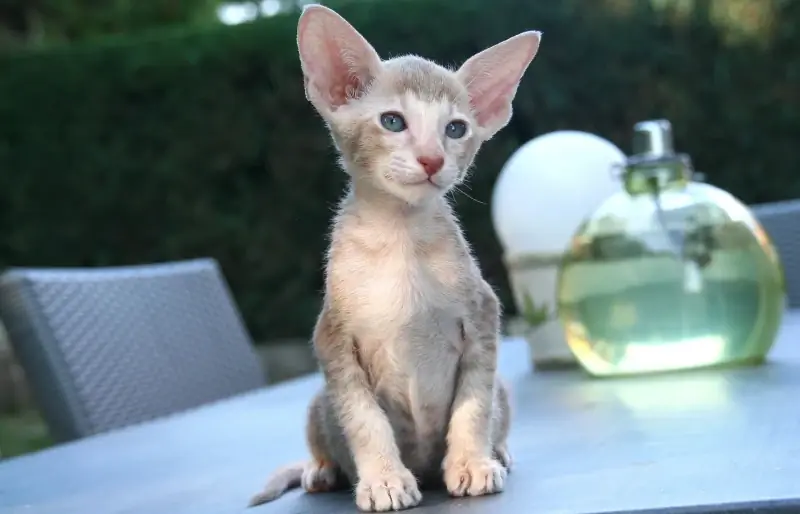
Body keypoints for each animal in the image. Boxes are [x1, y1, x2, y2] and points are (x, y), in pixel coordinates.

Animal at [247, 3, 540, 508]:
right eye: (392, 122)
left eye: (456, 129)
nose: (432, 159)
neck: (401, 239)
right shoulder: (333, 340)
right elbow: (365, 421)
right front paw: (383, 479)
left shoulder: (483, 318)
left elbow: (475, 404)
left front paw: (470, 461)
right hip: (319, 400)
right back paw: (321, 470)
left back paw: (497, 451)